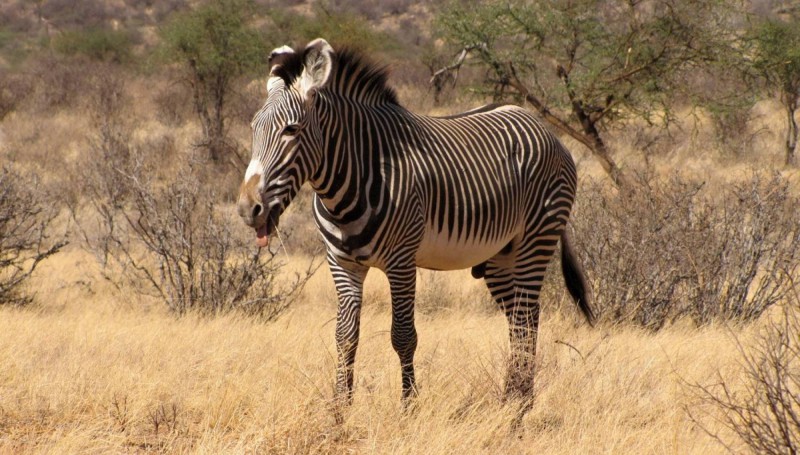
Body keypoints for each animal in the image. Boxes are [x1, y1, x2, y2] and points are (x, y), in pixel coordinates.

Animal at [238, 39, 592, 406]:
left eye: (291, 130)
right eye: (253, 129)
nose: (248, 209)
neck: (350, 183)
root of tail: (539, 123)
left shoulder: (402, 262)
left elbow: (403, 335)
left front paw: (408, 407)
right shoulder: (342, 264)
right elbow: (345, 336)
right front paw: (339, 410)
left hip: (536, 238)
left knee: (525, 318)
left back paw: (519, 407)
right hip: (500, 255)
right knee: (521, 320)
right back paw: (511, 401)